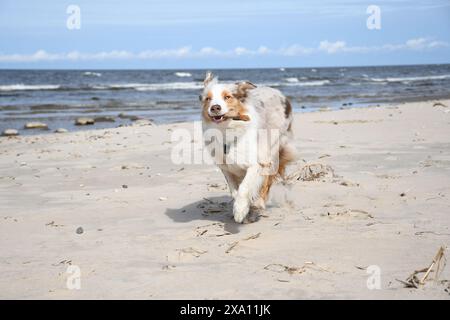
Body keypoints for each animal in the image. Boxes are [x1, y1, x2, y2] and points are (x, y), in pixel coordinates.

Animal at [200, 72, 296, 222]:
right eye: (208, 99)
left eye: (227, 97)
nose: (215, 107)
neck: (227, 131)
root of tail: (279, 93)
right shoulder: (226, 168)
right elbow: (234, 190)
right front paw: (243, 207)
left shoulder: (256, 164)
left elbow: (245, 187)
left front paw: (240, 210)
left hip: (271, 151)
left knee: (267, 182)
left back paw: (259, 202)